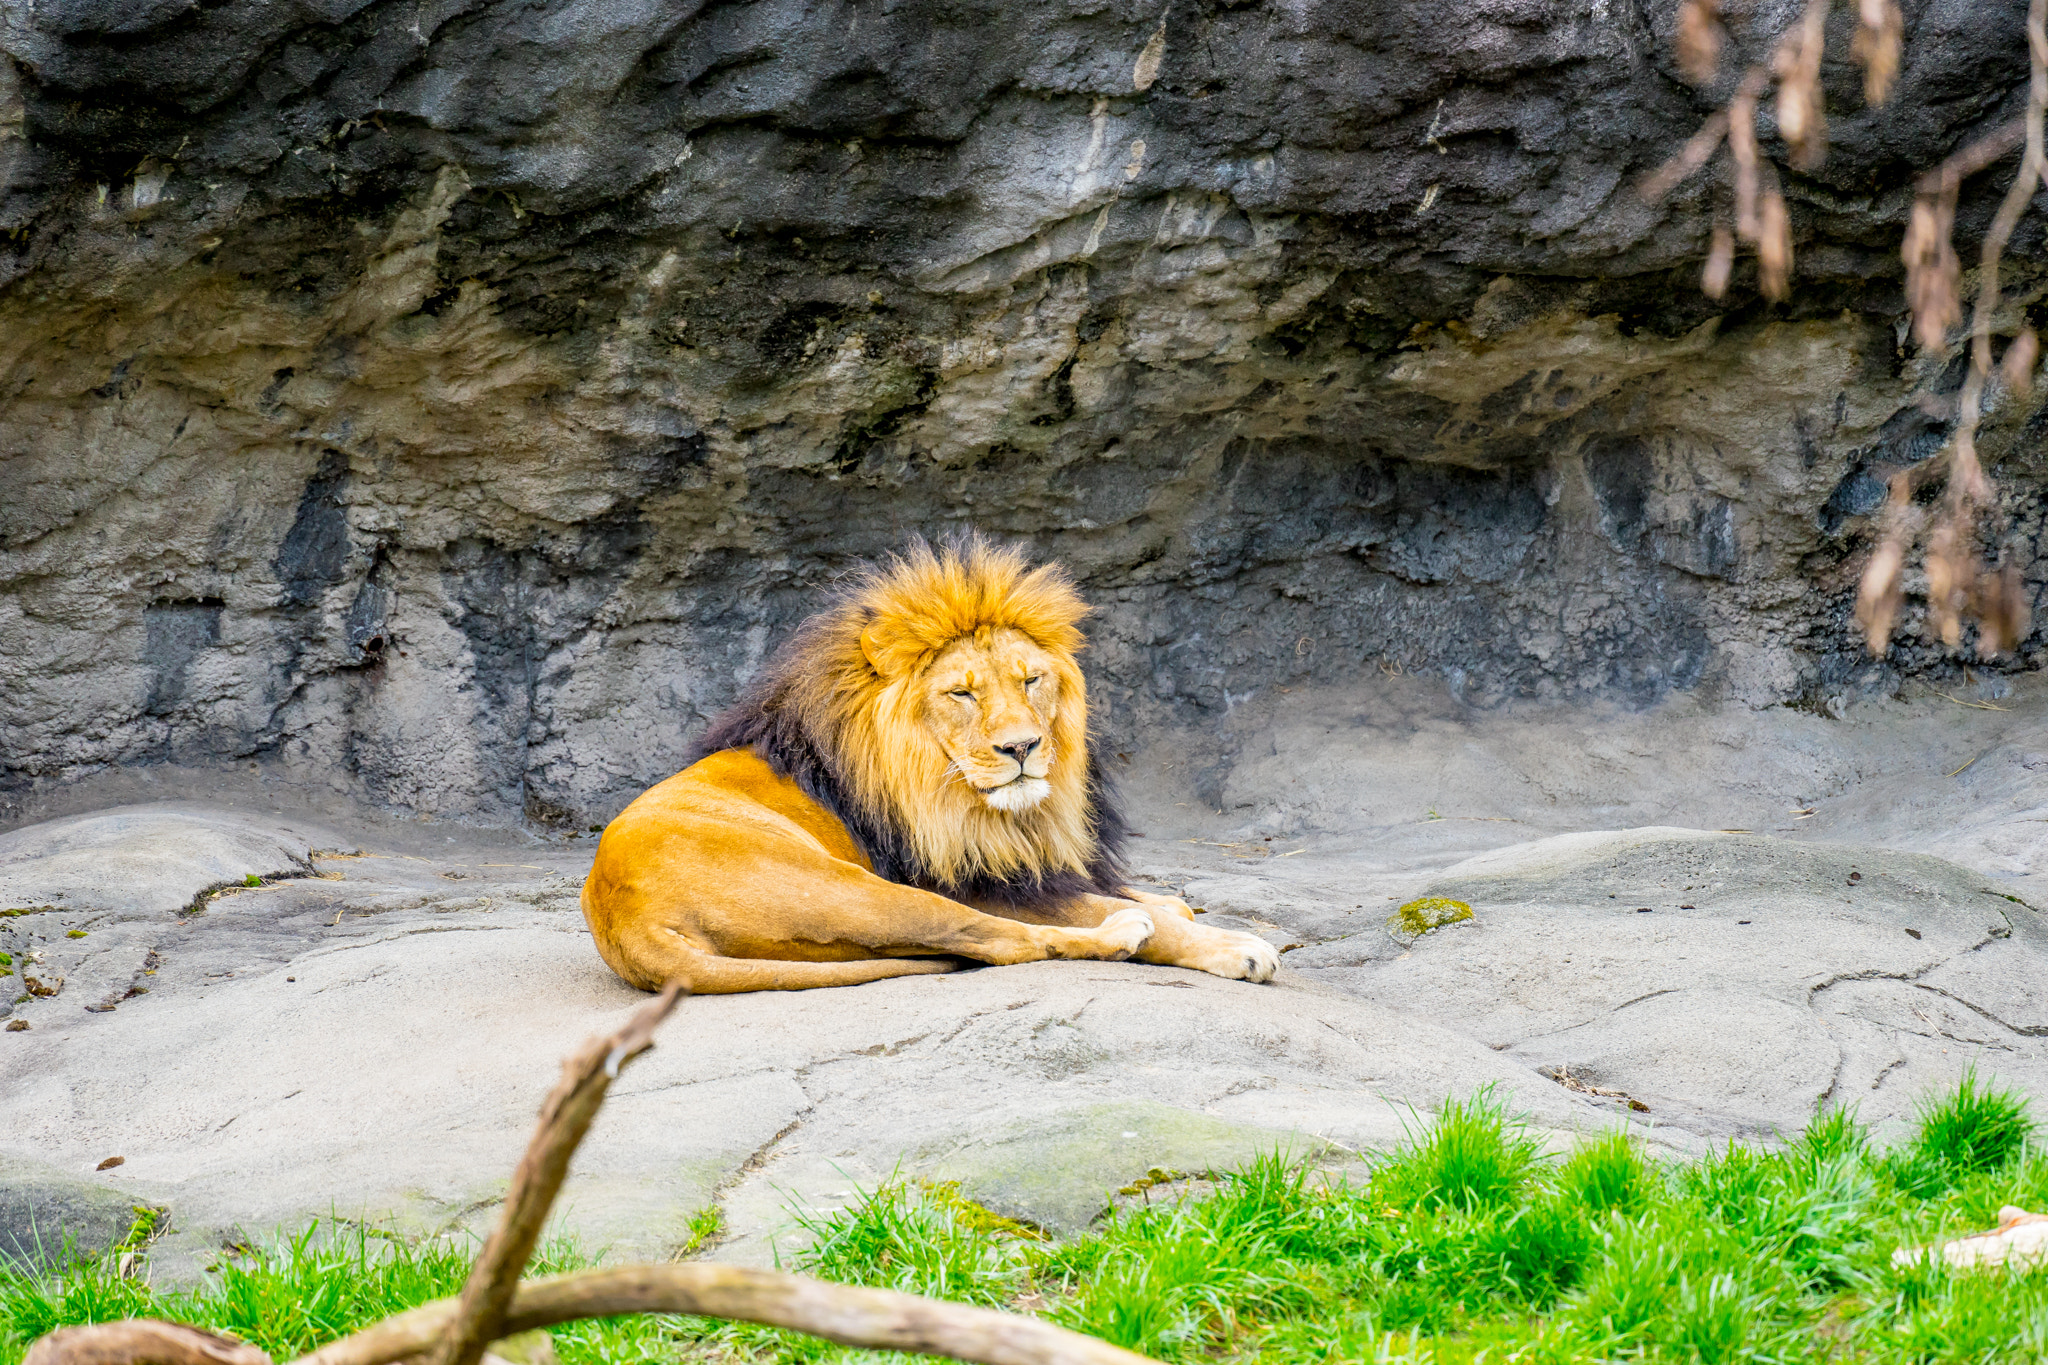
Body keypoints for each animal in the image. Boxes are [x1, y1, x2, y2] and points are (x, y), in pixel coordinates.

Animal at [581, 532, 1277, 994]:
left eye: (1031, 680)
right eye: (961, 694)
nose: (1021, 748)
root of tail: (626, 923)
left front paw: (1168, 900)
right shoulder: (974, 878)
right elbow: (1112, 915)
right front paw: (1232, 946)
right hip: (865, 892)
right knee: (997, 942)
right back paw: (1120, 933)